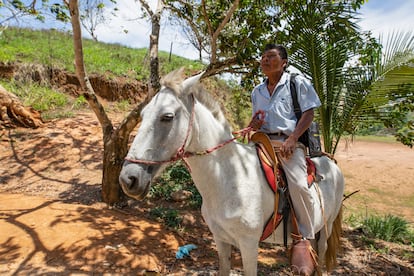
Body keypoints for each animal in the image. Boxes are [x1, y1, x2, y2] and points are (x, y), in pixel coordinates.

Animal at [118, 68, 344, 274]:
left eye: (167, 117)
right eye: (142, 115)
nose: (128, 179)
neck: (229, 178)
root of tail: (332, 163)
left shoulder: (249, 245)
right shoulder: (221, 239)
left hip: (324, 231)